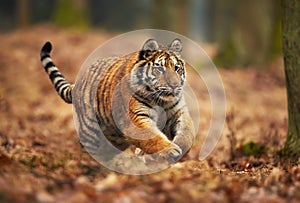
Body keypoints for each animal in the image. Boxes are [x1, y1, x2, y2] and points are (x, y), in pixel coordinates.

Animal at [39, 38, 195, 163]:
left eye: (177, 68)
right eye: (160, 69)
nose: (174, 85)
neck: (161, 100)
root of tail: (77, 83)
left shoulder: (178, 113)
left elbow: (187, 132)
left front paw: (180, 147)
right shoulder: (135, 118)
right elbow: (151, 136)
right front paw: (171, 150)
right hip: (90, 130)